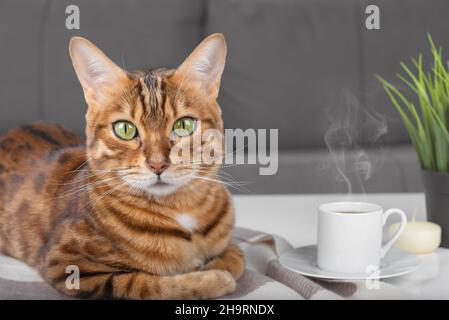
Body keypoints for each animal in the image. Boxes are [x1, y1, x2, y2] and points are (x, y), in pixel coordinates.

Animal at [0, 33, 243, 298]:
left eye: (184, 125)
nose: (158, 165)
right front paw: (212, 279)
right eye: (125, 129)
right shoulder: (69, 266)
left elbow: (236, 257)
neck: (180, 210)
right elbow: (147, 283)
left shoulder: (231, 244)